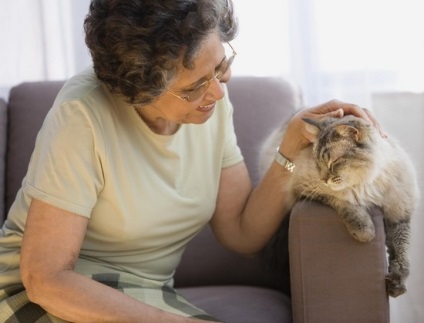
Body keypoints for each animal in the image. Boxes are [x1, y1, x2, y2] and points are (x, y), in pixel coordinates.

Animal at [260, 114, 420, 298]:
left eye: (333, 162)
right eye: (318, 162)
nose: (323, 179)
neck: (366, 184)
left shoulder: (399, 217)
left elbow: (401, 255)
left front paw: (396, 283)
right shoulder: (308, 190)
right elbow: (348, 205)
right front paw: (365, 232)